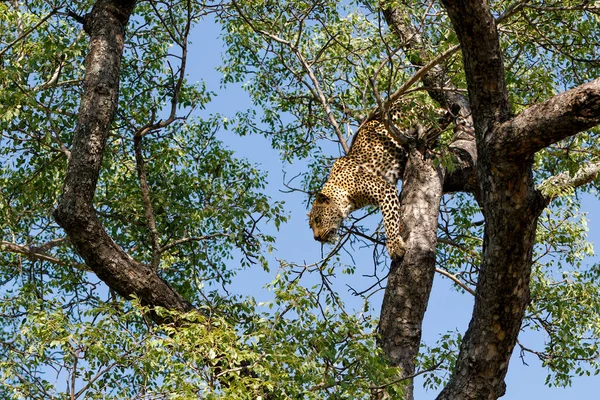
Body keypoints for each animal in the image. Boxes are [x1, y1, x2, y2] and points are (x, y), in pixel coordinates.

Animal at [310, 119, 408, 260]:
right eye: (310, 226)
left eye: (317, 220)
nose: (316, 238)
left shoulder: (385, 189)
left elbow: (390, 220)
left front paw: (394, 245)